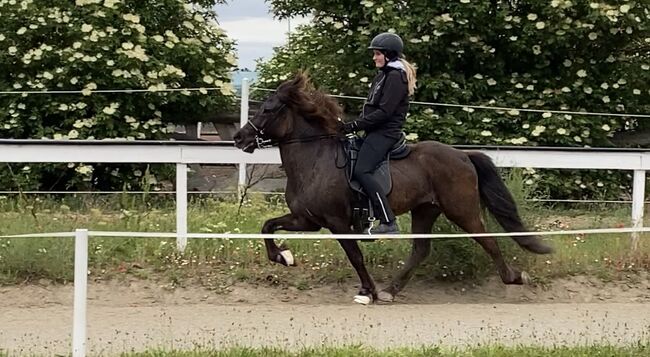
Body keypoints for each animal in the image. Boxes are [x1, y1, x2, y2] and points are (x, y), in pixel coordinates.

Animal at [230, 73, 548, 304]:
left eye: (268, 109)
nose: (239, 138)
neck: (315, 158)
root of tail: (462, 155)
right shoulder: (307, 220)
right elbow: (267, 226)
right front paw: (283, 257)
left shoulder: (336, 222)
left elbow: (355, 256)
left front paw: (366, 291)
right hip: (426, 210)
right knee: (421, 249)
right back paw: (391, 290)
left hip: (461, 210)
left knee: (488, 240)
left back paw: (514, 278)